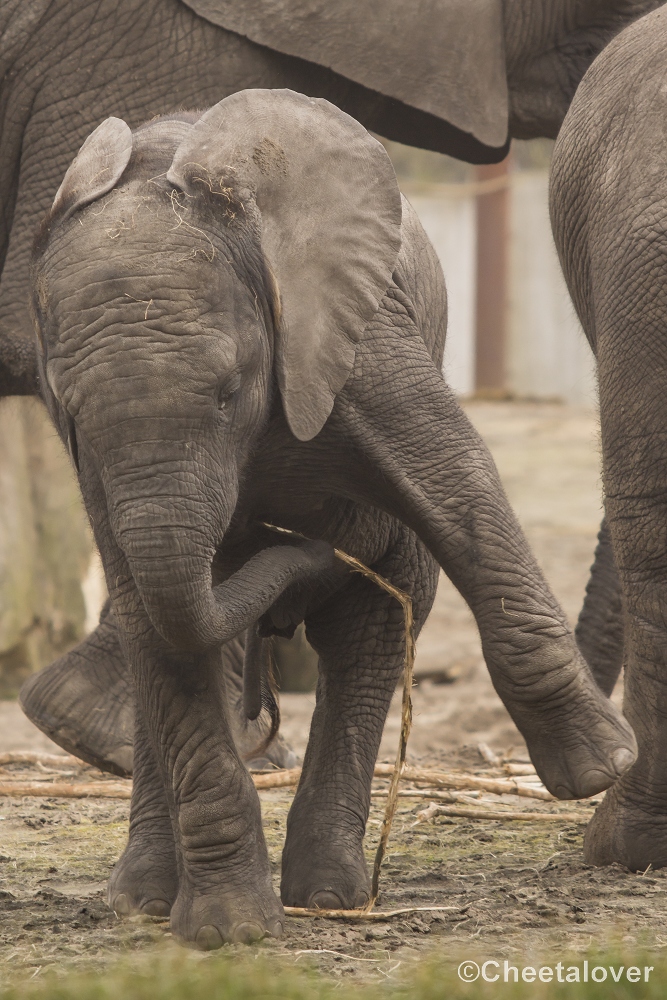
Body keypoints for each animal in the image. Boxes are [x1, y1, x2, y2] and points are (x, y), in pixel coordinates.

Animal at [31, 90, 636, 948]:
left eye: (229, 391)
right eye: (72, 413)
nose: (289, 541)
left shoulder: (357, 330)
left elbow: (452, 480)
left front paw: (600, 768)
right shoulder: (96, 471)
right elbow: (159, 625)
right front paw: (229, 931)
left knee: (369, 627)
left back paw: (328, 895)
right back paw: (147, 900)